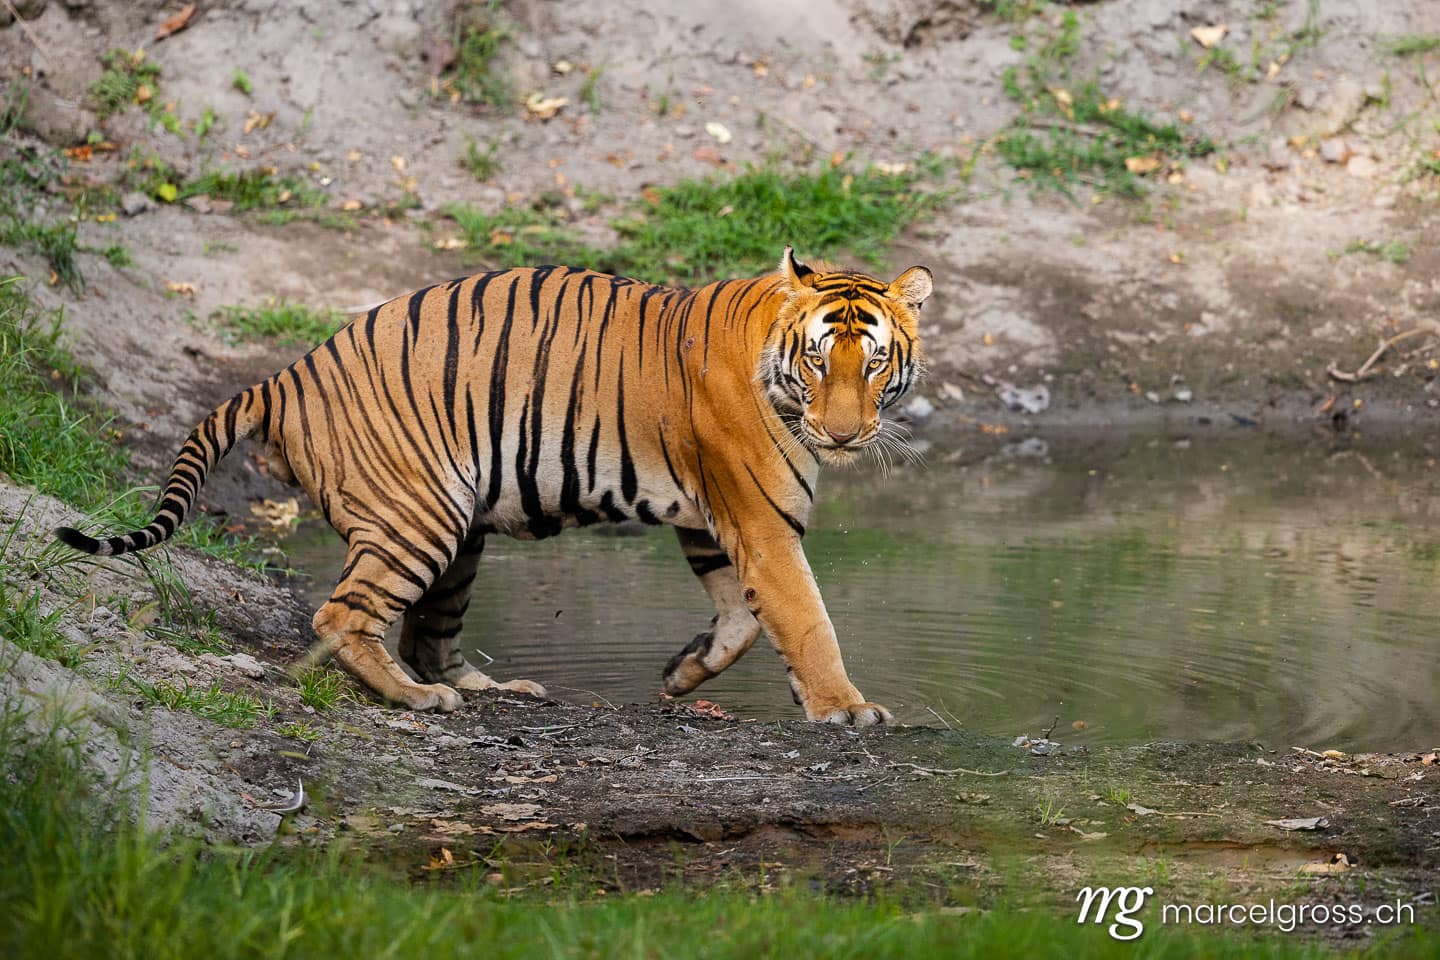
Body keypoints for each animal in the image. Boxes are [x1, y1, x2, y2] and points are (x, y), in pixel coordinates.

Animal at [56, 247, 932, 726]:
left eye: (873, 363)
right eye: (819, 359)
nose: (845, 435)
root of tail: (287, 373)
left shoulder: (713, 521)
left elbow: (742, 620)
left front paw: (680, 673)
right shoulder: (759, 520)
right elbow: (804, 619)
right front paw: (846, 707)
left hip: (460, 531)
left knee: (425, 630)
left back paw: (486, 685)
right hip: (420, 515)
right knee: (343, 615)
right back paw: (418, 701)